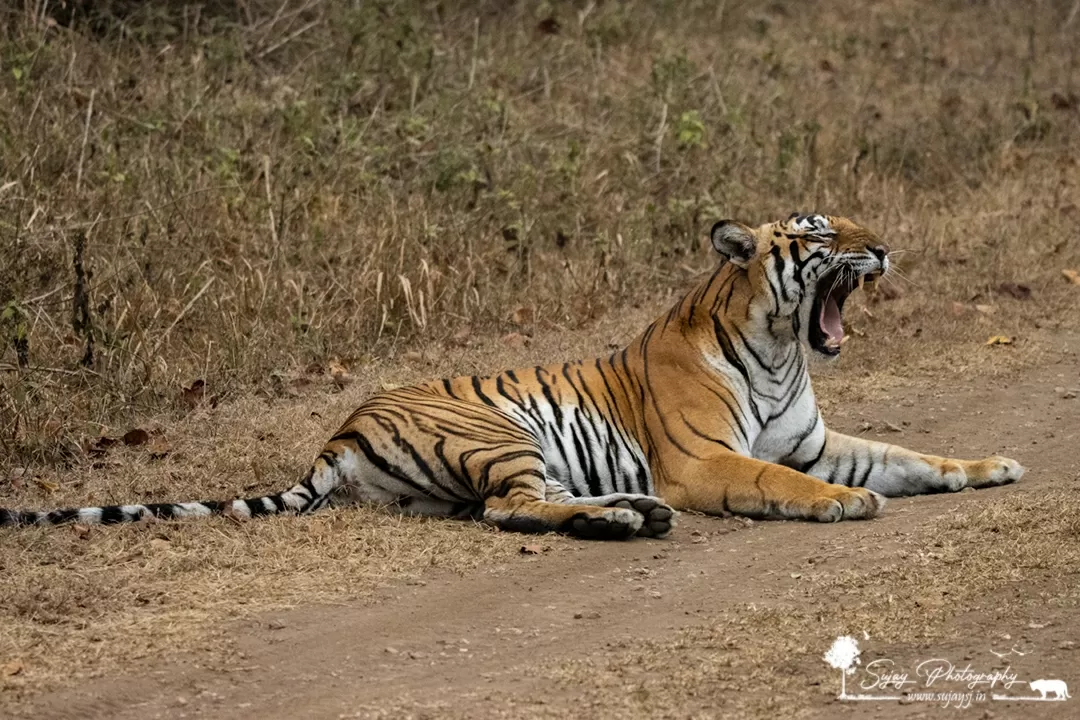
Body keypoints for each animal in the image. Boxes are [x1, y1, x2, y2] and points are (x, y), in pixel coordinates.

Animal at [0, 211, 1023, 537]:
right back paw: (628, 520)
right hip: (505, 434)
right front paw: (843, 505)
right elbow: (784, 482)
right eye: (818, 235)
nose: (880, 249)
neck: (779, 348)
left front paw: (991, 467)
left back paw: (630, 514)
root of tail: (336, 432)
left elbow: (907, 454)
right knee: (511, 511)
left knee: (517, 508)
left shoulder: (816, 439)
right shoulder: (707, 462)